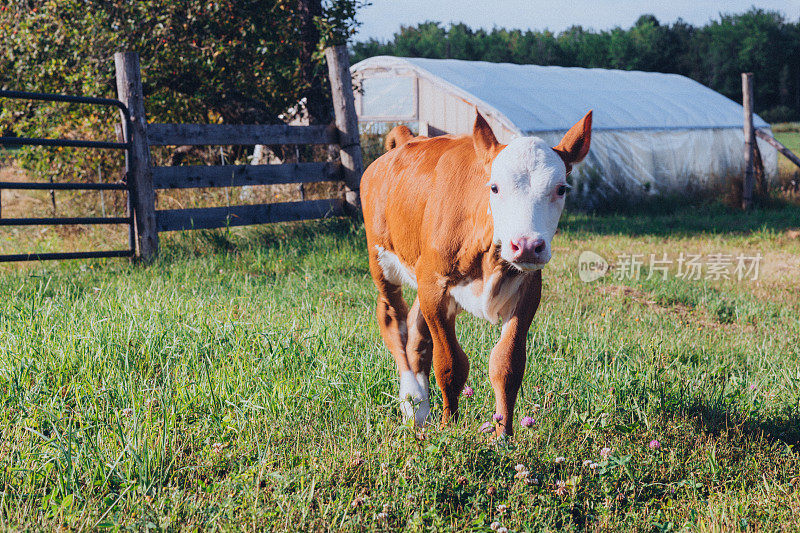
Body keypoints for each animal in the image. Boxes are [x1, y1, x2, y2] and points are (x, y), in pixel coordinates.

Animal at [360, 110, 592, 434]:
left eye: (561, 189)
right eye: (494, 187)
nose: (527, 245)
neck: (489, 260)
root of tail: (406, 141)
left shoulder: (529, 291)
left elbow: (507, 364)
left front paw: (503, 435)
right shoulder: (434, 286)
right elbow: (450, 364)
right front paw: (450, 426)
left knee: (417, 331)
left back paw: (421, 408)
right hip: (382, 262)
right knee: (393, 319)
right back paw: (412, 398)